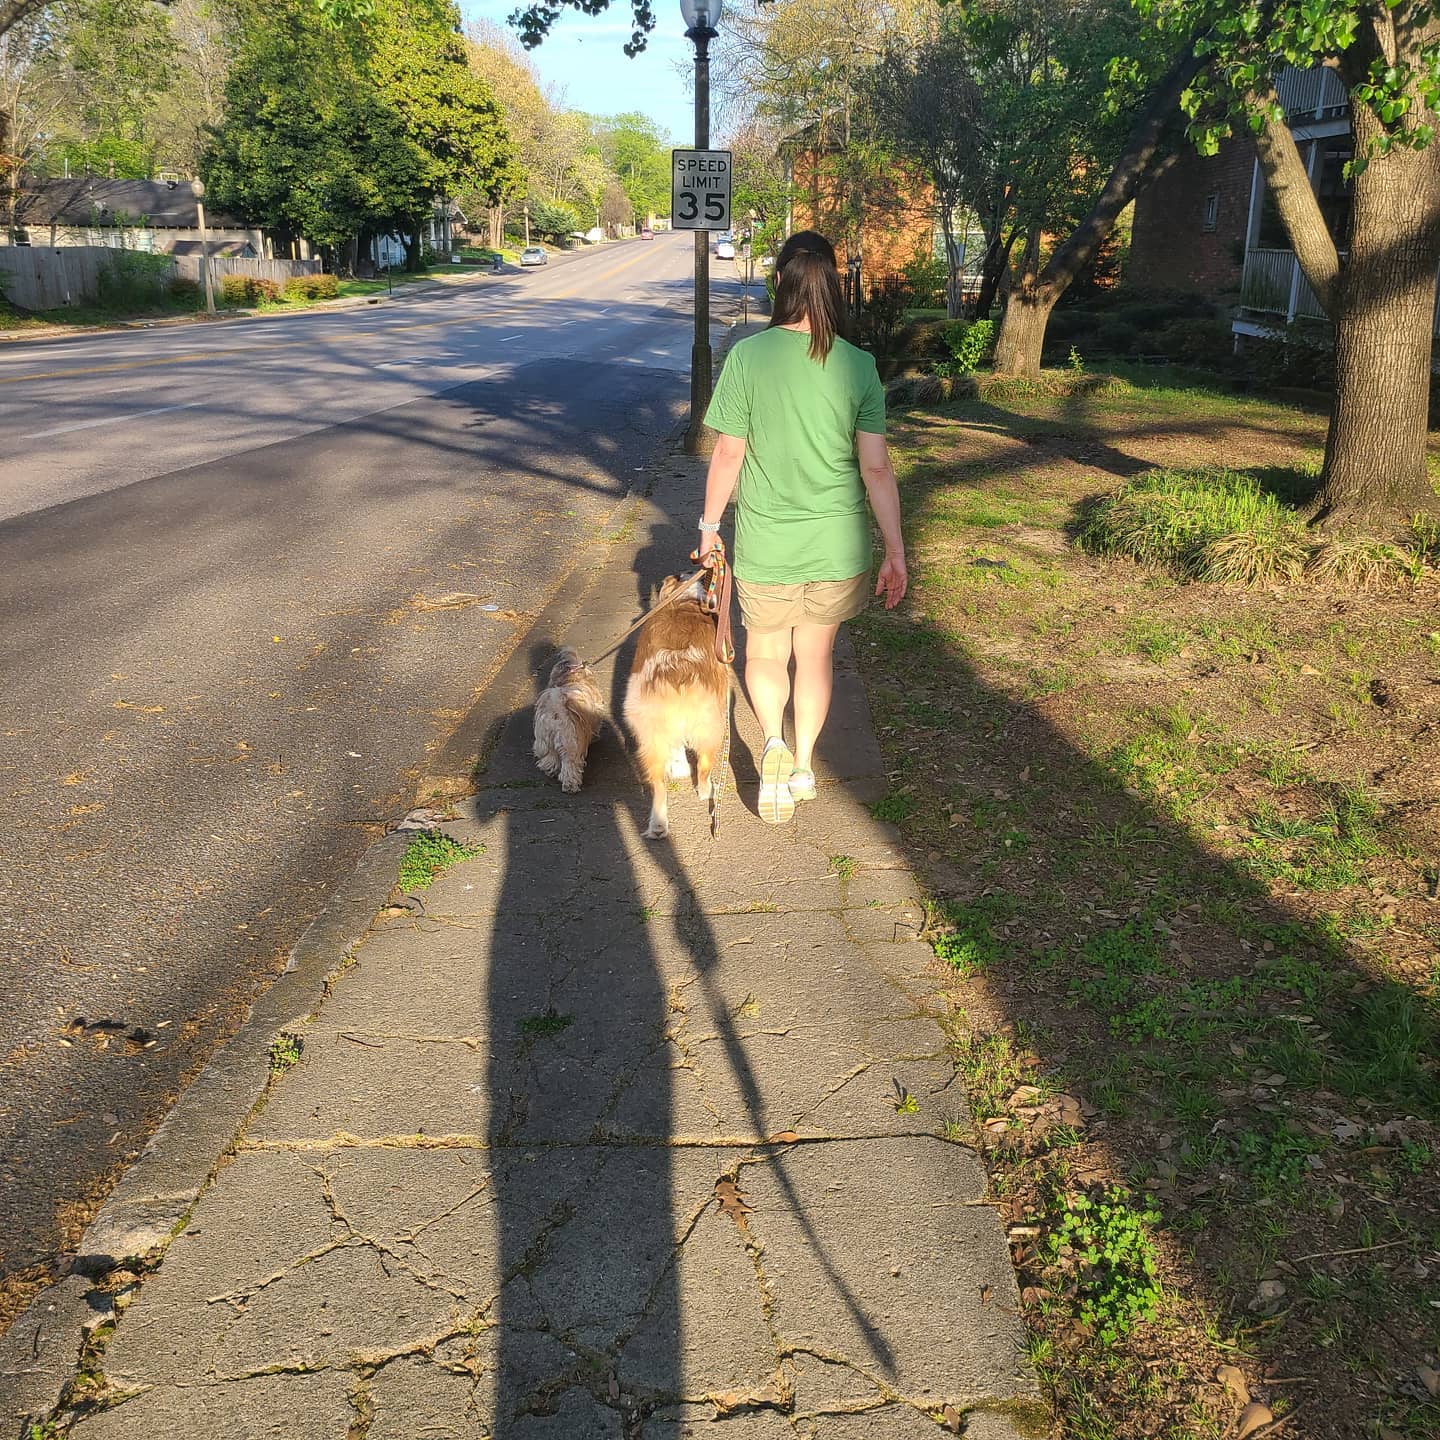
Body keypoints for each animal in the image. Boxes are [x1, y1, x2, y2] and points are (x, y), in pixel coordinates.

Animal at [532, 648, 606, 793]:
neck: (571, 677)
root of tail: (557, 708)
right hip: (570, 743)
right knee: (569, 765)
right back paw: (570, 785)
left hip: (546, 739)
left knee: (551, 757)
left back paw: (550, 769)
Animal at [622, 575, 730, 839]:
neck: (683, 602)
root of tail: (677, 674)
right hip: (712, 727)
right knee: (703, 767)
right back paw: (707, 791)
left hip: (652, 736)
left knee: (659, 784)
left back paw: (659, 825)